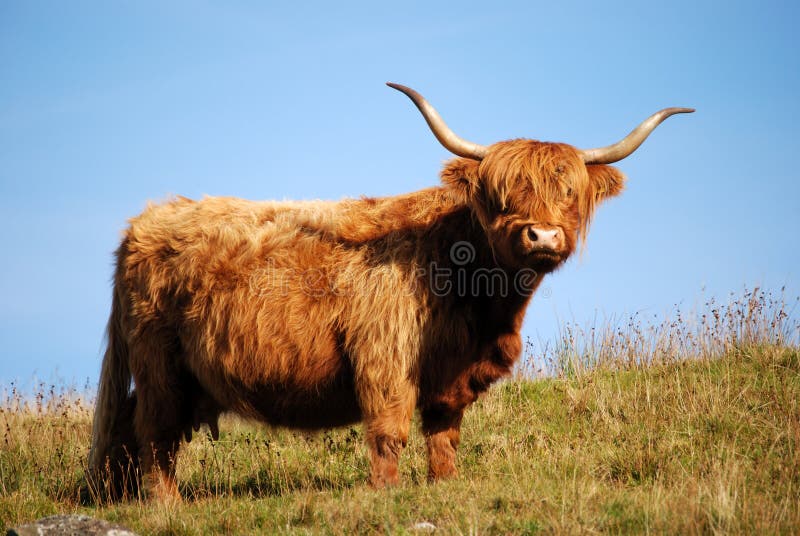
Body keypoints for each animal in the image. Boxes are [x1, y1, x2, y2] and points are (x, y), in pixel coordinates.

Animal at [86, 81, 688, 500]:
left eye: (569, 193)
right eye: (500, 194)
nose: (542, 235)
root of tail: (145, 220)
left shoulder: (452, 376)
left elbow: (444, 434)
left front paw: (444, 485)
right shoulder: (384, 354)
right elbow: (389, 429)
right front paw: (386, 493)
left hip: (182, 374)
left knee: (130, 427)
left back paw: (119, 499)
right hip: (159, 362)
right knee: (153, 431)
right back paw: (164, 504)